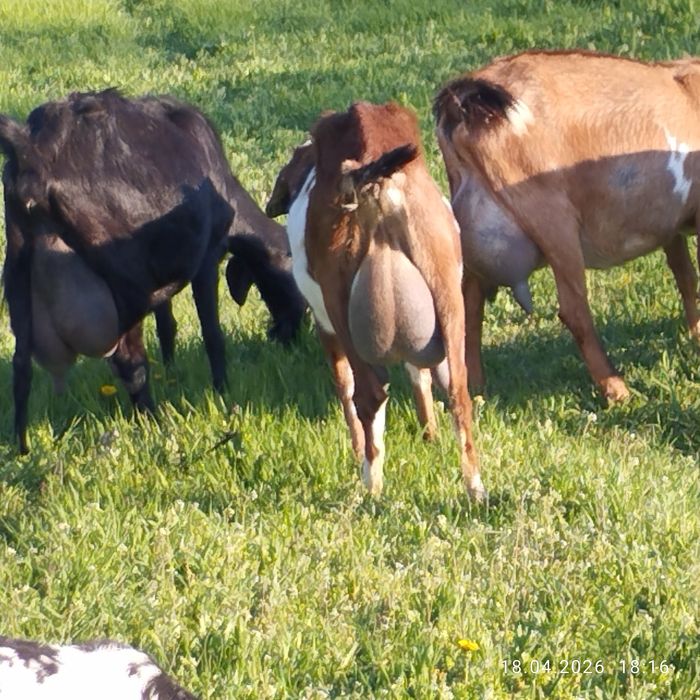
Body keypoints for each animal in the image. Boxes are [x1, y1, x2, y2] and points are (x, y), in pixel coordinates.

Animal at [267, 102, 484, 499]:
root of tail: (374, 177)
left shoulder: (324, 324)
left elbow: (345, 388)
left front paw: (357, 451)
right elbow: (421, 376)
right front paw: (429, 435)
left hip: (340, 308)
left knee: (368, 394)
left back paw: (371, 482)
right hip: (447, 292)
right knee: (459, 395)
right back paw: (475, 488)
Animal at [434, 50, 700, 401]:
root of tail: (462, 99)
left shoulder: (671, 223)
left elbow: (685, 276)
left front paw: (695, 334)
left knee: (470, 302)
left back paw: (476, 384)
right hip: (552, 219)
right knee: (574, 311)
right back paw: (616, 389)